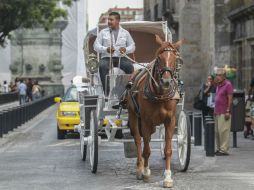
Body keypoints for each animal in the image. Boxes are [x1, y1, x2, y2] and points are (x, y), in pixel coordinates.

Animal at [126, 35, 183, 188]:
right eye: (159, 58)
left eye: (175, 58)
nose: (166, 81)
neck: (160, 95)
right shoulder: (146, 120)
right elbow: (146, 150)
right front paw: (146, 172)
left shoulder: (170, 120)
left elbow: (168, 150)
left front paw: (168, 177)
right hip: (134, 116)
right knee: (138, 140)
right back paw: (140, 169)